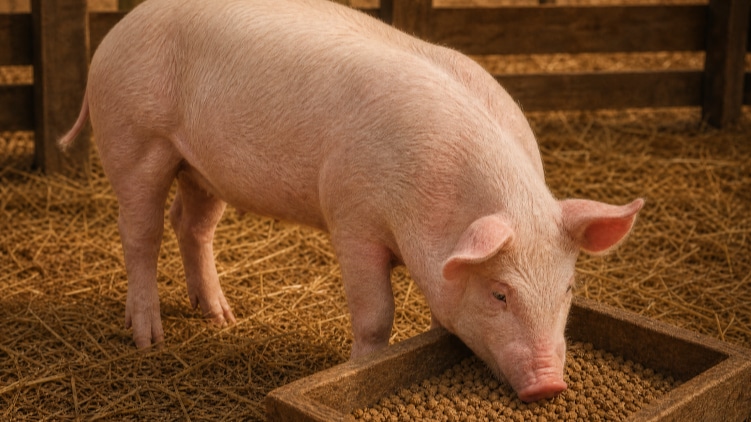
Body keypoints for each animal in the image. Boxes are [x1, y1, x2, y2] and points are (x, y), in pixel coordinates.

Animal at [59, 0, 644, 402]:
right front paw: (359, 366)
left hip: (202, 166)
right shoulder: (353, 217)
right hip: (136, 139)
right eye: (500, 293)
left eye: (568, 290)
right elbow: (375, 314)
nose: (549, 386)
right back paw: (148, 339)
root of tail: (119, 27)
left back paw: (221, 318)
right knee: (140, 232)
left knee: (191, 224)